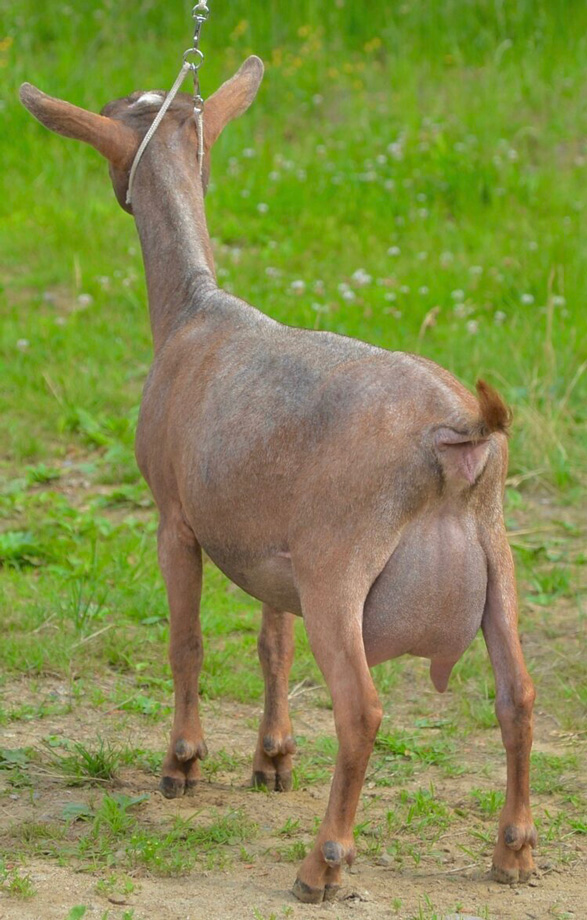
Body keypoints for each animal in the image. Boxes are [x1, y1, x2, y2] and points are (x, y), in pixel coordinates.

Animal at [19, 59, 536, 904]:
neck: (193, 310)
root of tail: (456, 432)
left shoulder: (175, 518)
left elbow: (187, 642)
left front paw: (182, 764)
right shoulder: (274, 548)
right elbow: (272, 646)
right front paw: (271, 759)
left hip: (341, 566)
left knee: (361, 710)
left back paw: (321, 865)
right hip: (495, 556)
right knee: (516, 695)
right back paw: (513, 851)